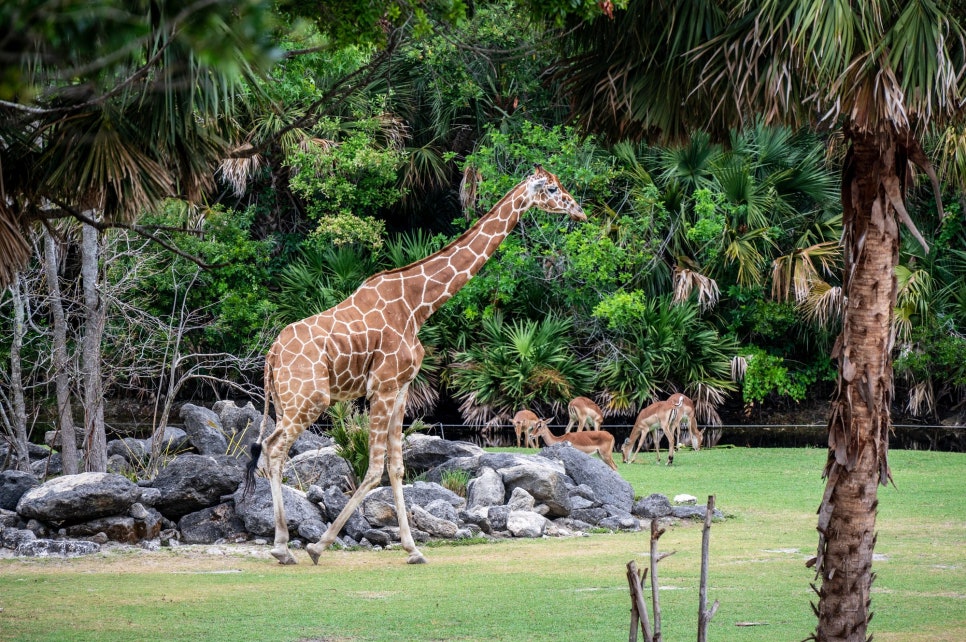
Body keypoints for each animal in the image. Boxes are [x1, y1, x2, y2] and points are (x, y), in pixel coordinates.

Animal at [246, 164, 588, 560]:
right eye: (553, 188)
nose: (580, 211)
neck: (418, 305)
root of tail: (271, 355)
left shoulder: (402, 387)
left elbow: (396, 466)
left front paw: (413, 550)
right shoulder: (382, 386)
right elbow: (374, 467)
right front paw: (319, 546)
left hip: (285, 401)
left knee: (270, 449)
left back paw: (283, 545)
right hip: (309, 398)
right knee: (274, 449)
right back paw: (282, 547)